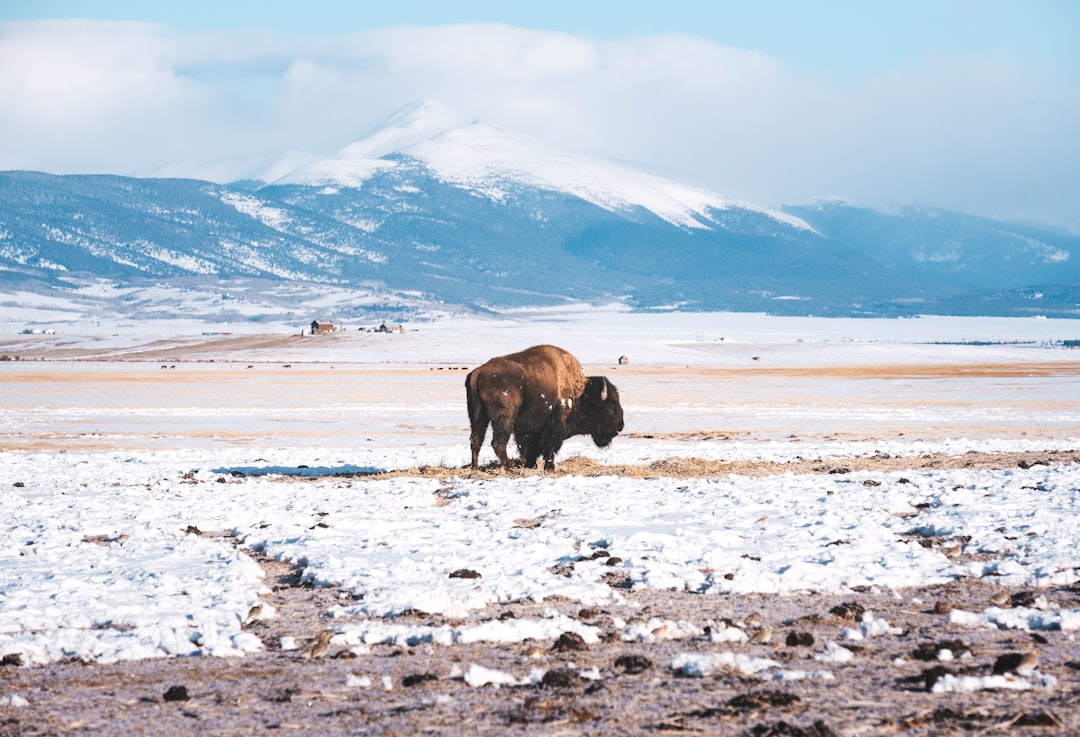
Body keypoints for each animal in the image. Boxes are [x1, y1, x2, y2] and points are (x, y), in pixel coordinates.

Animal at [464, 343, 626, 471]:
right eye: (611, 405)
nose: (621, 425)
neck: (578, 392)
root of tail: (479, 371)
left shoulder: (530, 430)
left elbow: (529, 449)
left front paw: (532, 466)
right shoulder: (555, 426)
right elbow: (550, 448)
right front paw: (549, 468)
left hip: (477, 417)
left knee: (476, 440)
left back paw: (475, 468)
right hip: (504, 418)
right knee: (498, 443)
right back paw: (510, 468)